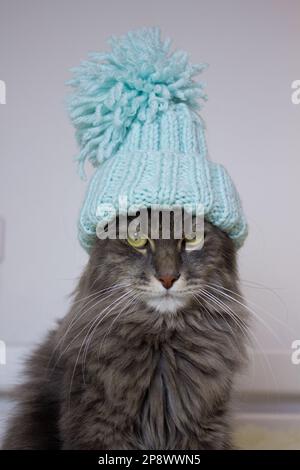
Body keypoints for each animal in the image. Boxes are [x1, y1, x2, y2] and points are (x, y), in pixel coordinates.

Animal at [2, 215, 247, 450]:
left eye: (193, 238)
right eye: (136, 239)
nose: (168, 278)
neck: (162, 346)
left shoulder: (206, 428)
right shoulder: (98, 427)